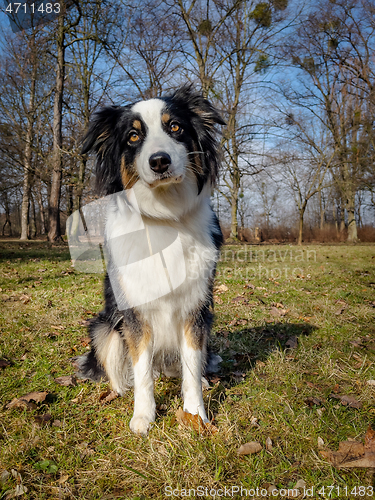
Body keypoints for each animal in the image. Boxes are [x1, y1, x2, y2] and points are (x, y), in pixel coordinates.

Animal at [75, 85, 225, 434]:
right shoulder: (135, 313)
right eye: (133, 136)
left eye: (176, 127)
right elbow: (142, 370)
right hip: (103, 327)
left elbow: (191, 369)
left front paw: (196, 414)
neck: (165, 214)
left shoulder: (195, 308)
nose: (159, 161)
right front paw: (143, 416)